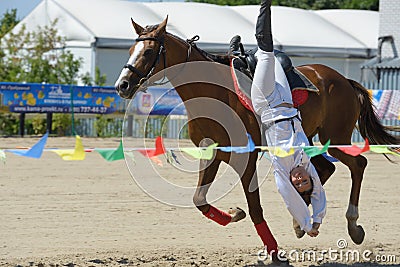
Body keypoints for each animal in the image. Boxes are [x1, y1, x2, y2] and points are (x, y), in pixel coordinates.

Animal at [114, 17, 398, 249]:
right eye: (129, 50)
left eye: (148, 51)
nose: (122, 85)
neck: (213, 93)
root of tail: (343, 80)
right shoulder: (212, 153)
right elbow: (200, 200)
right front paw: (233, 213)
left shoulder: (246, 158)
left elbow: (256, 209)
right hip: (310, 139)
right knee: (326, 168)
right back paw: (301, 222)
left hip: (337, 138)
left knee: (358, 164)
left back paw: (353, 225)